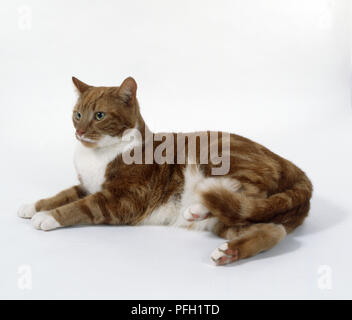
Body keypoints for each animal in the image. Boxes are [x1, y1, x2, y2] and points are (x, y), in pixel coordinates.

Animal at [17, 77, 312, 264]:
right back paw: (228, 251)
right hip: (234, 221)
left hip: (222, 155)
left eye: (99, 116)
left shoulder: (120, 200)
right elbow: (62, 195)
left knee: (248, 193)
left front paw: (47, 217)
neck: (97, 154)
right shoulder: (86, 185)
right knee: (270, 228)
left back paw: (198, 208)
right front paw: (32, 206)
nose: (79, 131)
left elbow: (79, 206)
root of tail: (295, 169)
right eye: (77, 114)